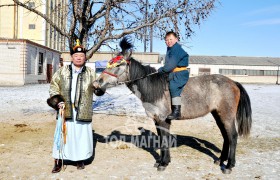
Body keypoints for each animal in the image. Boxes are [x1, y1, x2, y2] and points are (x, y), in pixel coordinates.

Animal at [93, 37, 253, 174]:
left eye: (118, 64)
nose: (96, 85)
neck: (153, 88)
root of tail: (233, 83)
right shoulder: (157, 121)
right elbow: (162, 140)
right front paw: (162, 161)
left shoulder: (164, 120)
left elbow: (164, 141)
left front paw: (163, 163)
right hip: (218, 114)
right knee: (226, 136)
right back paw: (220, 160)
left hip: (227, 116)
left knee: (232, 136)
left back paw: (229, 165)